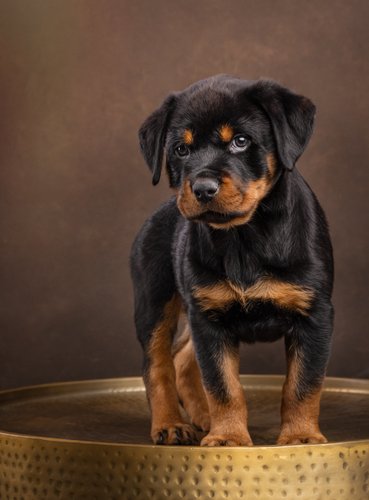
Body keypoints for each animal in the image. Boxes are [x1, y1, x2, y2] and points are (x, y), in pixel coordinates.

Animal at [130, 74, 334, 446]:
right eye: (181, 149)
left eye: (240, 142)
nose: (202, 188)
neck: (244, 237)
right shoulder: (210, 319)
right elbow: (223, 385)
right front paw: (228, 438)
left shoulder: (315, 314)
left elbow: (303, 383)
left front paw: (300, 436)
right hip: (154, 301)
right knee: (158, 365)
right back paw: (171, 425)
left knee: (182, 360)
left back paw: (202, 419)